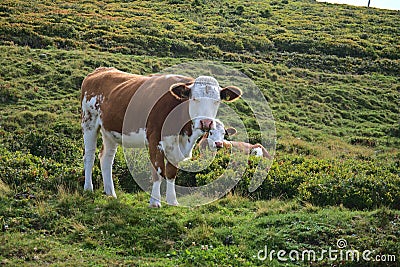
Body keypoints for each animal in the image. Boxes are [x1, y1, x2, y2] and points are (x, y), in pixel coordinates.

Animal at [80, 67, 241, 207]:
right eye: (194, 98)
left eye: (217, 101)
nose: (206, 122)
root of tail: (101, 70)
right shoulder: (154, 140)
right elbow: (158, 171)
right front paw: (155, 202)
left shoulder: (175, 145)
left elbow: (171, 173)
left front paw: (172, 201)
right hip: (89, 121)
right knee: (90, 156)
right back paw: (88, 188)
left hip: (110, 131)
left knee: (106, 158)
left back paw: (110, 193)